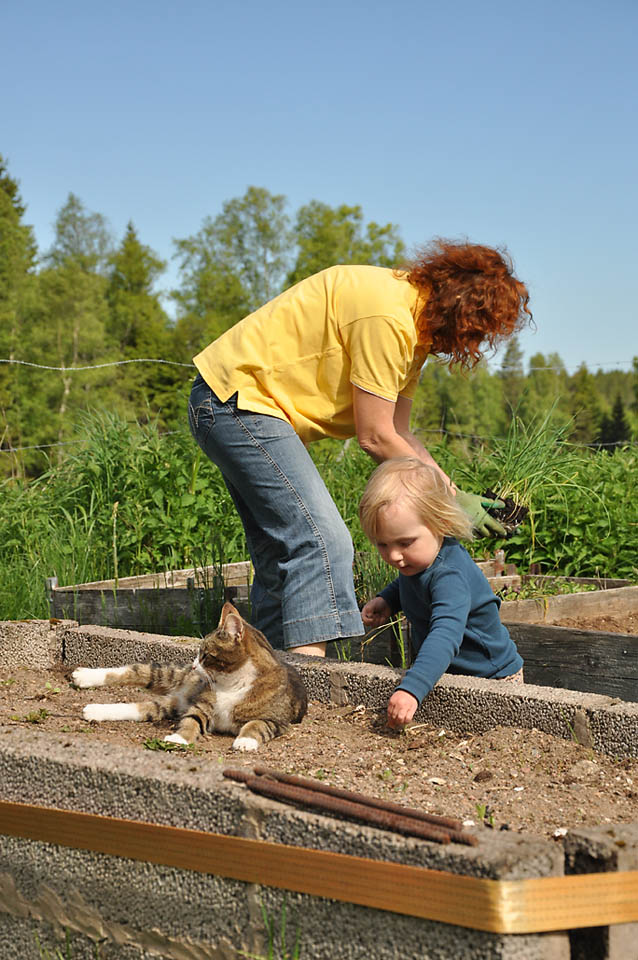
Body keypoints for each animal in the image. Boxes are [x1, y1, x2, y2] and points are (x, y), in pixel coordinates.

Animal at [71, 600, 308, 752]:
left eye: (205, 654)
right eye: (198, 653)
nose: (194, 665)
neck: (231, 683)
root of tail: (182, 694)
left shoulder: (276, 720)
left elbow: (256, 725)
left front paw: (245, 741)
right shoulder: (201, 707)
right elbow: (191, 722)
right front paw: (178, 738)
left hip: (170, 703)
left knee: (141, 707)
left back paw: (94, 710)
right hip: (173, 677)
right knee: (136, 671)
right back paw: (84, 676)